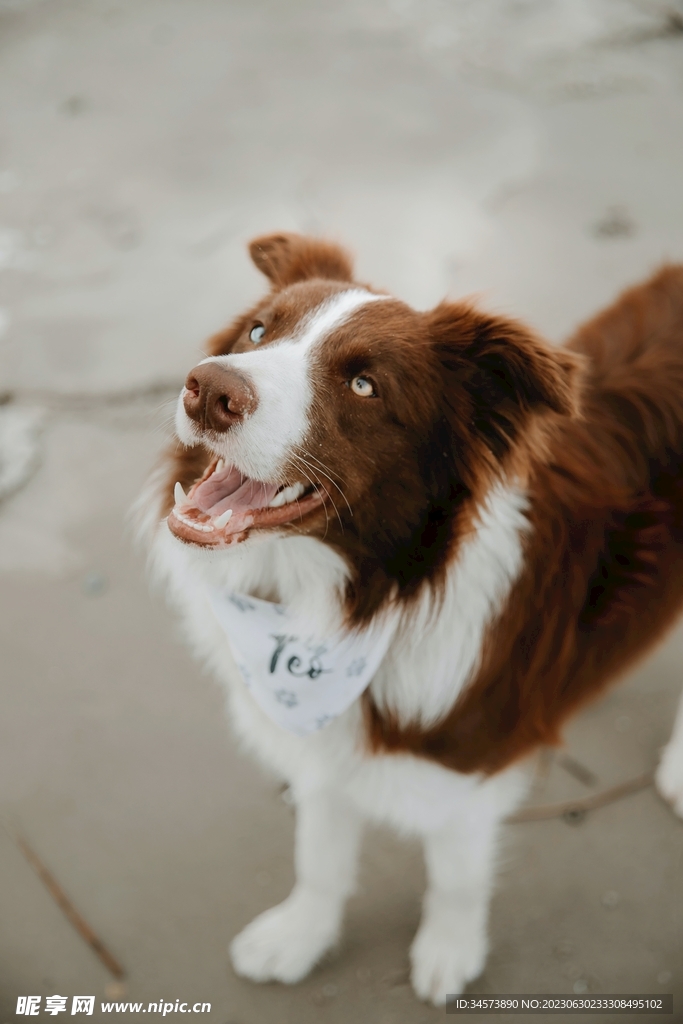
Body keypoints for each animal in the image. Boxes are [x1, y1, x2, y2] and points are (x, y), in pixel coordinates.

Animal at [139, 234, 683, 1007]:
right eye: (259, 331)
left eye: (366, 386)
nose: (208, 388)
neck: (351, 606)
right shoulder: (325, 747)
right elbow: (320, 857)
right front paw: (299, 936)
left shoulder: (467, 770)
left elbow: (455, 876)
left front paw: (448, 952)